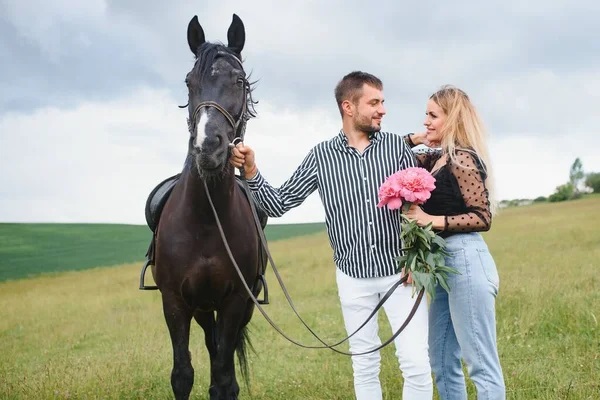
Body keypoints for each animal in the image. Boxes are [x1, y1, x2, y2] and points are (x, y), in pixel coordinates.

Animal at [150, 14, 270, 398]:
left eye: (239, 81)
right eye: (190, 82)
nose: (208, 147)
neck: (205, 218)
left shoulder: (234, 302)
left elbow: (224, 378)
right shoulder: (175, 302)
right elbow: (182, 374)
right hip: (201, 307)